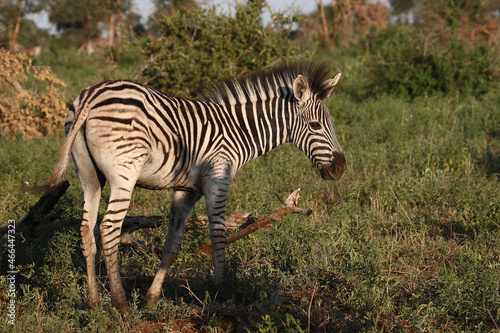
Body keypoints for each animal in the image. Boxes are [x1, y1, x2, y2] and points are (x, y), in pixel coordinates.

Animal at [36, 61, 348, 312]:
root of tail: (92, 94)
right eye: (316, 126)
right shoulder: (218, 178)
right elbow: (218, 234)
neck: (239, 131)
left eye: (332, 123)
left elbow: (172, 244)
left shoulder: (187, 189)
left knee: (86, 229)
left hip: (88, 175)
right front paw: (224, 292)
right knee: (109, 228)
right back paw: (120, 304)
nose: (341, 169)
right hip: (124, 174)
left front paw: (152, 298)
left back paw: (93, 303)